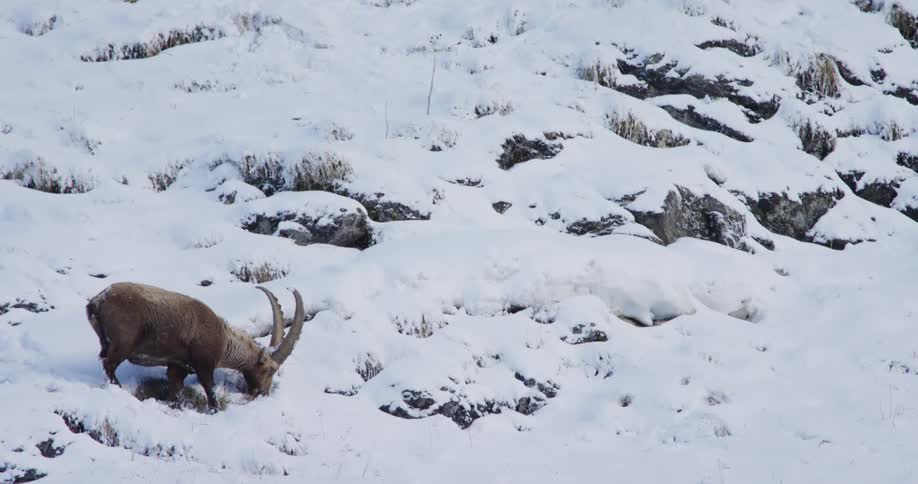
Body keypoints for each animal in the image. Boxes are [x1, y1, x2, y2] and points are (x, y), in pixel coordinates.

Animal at [85, 282, 306, 412]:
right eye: (269, 369)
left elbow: (175, 388)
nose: (263, 393)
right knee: (109, 365)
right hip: (123, 342)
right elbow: (210, 388)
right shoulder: (204, 363)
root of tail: (97, 301)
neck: (223, 340)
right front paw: (215, 410)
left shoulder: (178, 366)